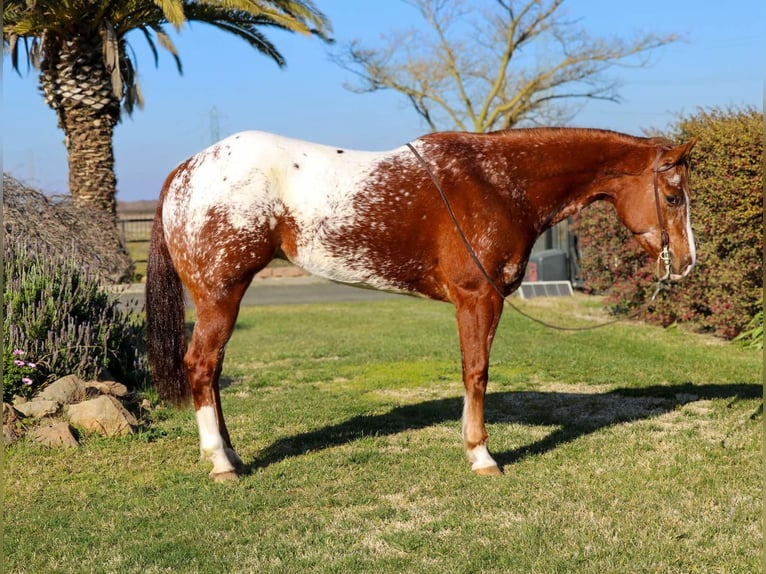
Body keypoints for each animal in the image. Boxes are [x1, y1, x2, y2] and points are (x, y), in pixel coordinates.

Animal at [146, 128, 704, 484]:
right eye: (674, 197)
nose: (687, 262)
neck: (496, 181)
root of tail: (184, 171)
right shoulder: (478, 298)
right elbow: (476, 371)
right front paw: (482, 455)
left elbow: (471, 370)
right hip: (221, 296)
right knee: (201, 366)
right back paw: (221, 464)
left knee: (213, 371)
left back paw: (233, 455)